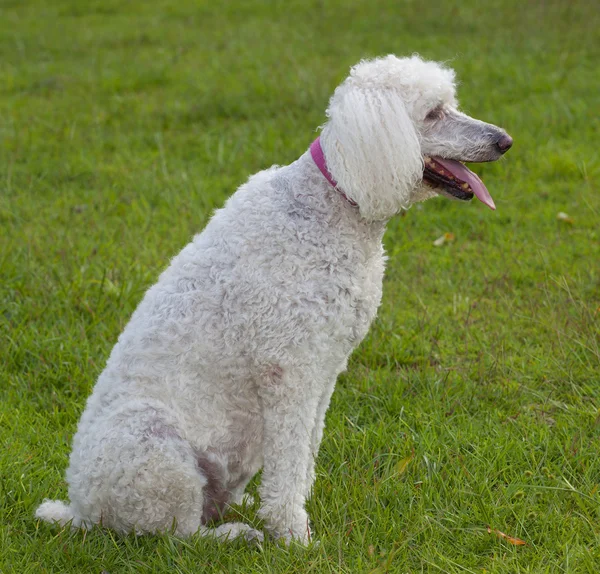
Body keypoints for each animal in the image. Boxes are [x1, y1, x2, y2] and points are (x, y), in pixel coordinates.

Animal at [36, 56, 510, 548]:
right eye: (433, 113)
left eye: (450, 103)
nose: (505, 141)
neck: (333, 203)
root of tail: (80, 510)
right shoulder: (288, 369)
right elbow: (290, 456)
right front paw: (293, 536)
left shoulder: (326, 367)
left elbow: (304, 451)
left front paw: (295, 509)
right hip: (154, 447)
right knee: (176, 534)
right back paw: (232, 535)